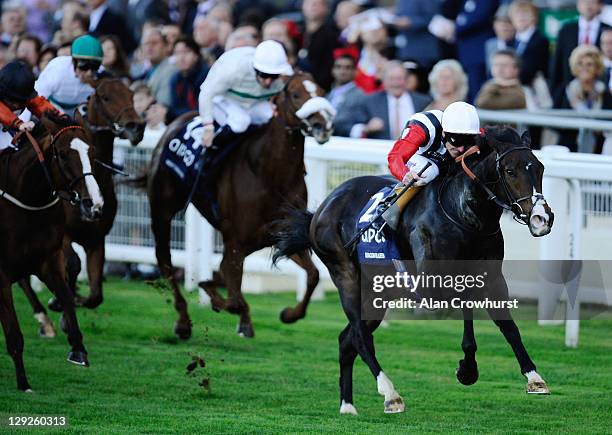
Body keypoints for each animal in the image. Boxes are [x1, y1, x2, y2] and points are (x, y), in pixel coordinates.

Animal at [0, 115, 103, 392]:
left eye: (92, 151)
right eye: (64, 154)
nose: (94, 203)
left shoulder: (48, 261)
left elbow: (67, 296)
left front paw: (78, 348)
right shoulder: (0, 274)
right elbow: (13, 333)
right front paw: (23, 382)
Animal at [18, 76, 145, 336]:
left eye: (130, 94)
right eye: (105, 97)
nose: (136, 127)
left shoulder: (97, 239)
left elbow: (96, 295)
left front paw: (70, 305)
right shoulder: (63, 235)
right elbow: (74, 265)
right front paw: (58, 301)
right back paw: (42, 317)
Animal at [142, 71, 334, 338]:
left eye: (322, 91)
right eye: (296, 94)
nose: (322, 125)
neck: (271, 174)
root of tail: (175, 122)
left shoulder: (282, 235)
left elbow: (313, 275)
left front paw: (288, 314)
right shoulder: (235, 241)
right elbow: (232, 298)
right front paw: (217, 301)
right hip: (162, 210)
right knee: (165, 261)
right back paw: (183, 321)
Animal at [272, 127, 556, 416]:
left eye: (540, 168)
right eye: (510, 171)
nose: (542, 219)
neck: (464, 214)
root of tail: (323, 207)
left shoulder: (493, 278)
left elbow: (508, 325)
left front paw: (533, 377)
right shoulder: (432, 286)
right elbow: (465, 302)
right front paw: (467, 368)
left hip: (377, 293)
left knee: (346, 339)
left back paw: (348, 405)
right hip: (345, 274)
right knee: (360, 337)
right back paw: (390, 394)